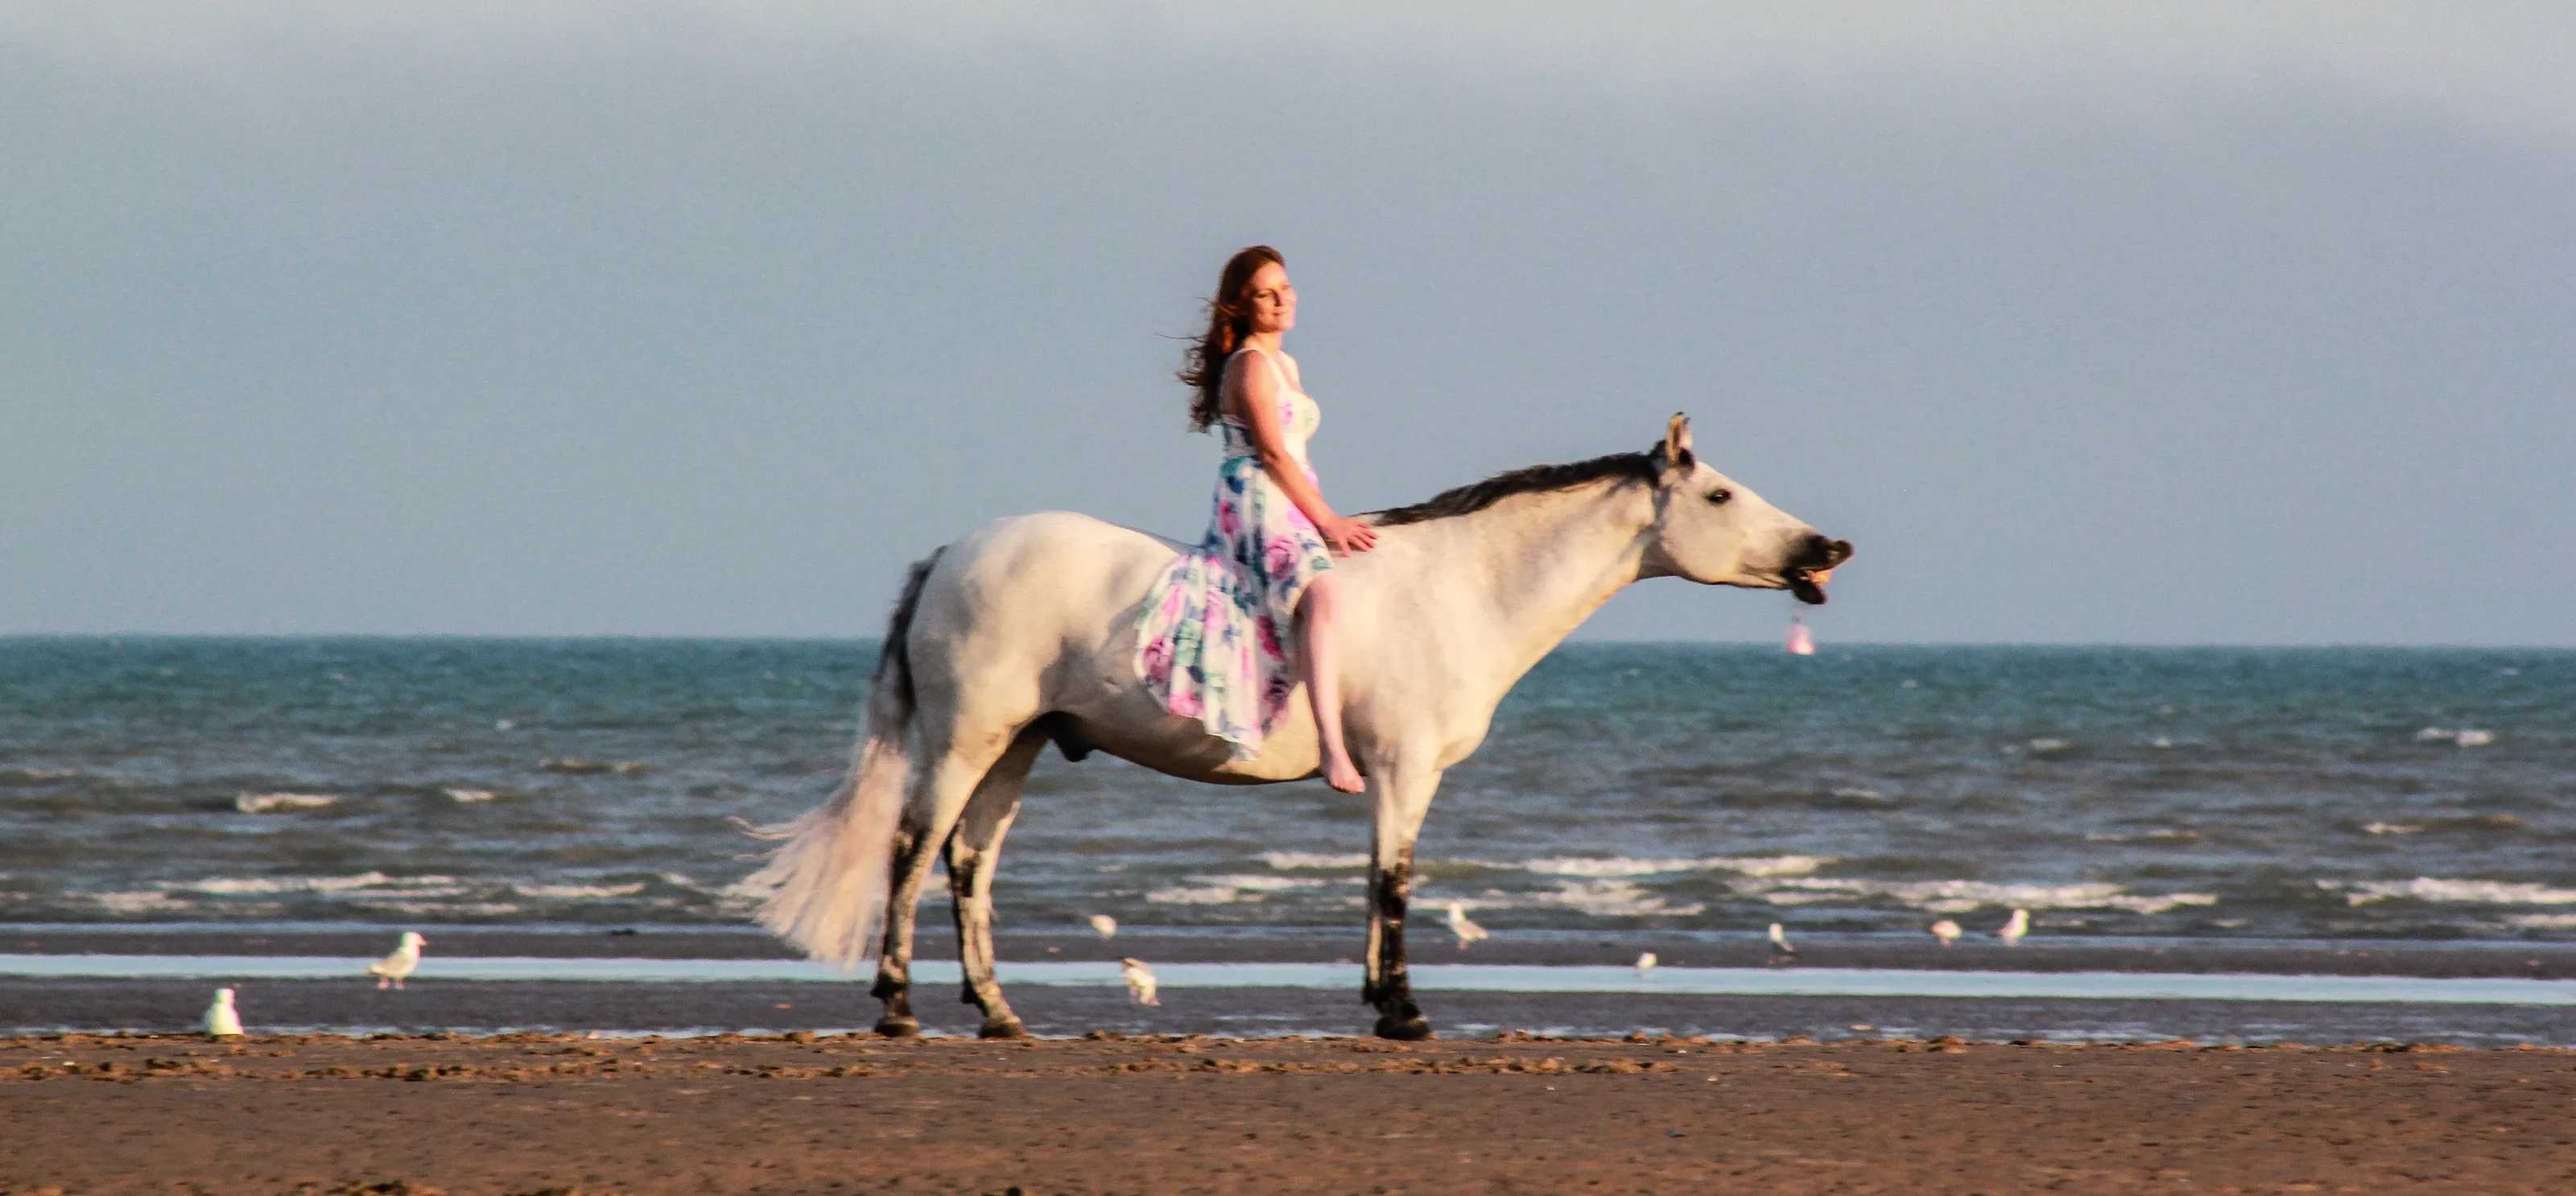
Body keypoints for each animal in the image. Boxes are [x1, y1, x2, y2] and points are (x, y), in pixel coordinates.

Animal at [747, 413, 1852, 1039]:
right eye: (1719, 492)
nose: (1826, 548)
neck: (1459, 586)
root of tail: (950, 552)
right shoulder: (1404, 769)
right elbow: (1394, 881)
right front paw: (1403, 1012)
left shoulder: (1393, 775)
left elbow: (1376, 882)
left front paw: (1377, 1002)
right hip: (966, 737)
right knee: (912, 848)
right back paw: (896, 1005)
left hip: (1014, 748)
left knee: (969, 863)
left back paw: (1000, 1013)